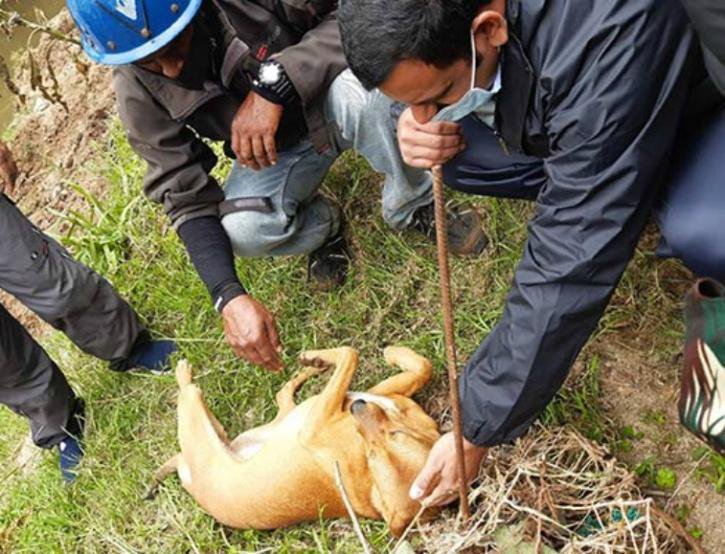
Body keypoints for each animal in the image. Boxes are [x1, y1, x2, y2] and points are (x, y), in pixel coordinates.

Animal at [150, 348, 438, 532]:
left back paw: (182, 371)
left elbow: (350, 353)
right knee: (282, 395)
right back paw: (307, 371)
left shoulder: (319, 422)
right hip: (265, 425)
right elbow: (423, 366)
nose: (357, 408)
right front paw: (393, 353)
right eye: (397, 434)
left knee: (190, 391)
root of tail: (185, 473)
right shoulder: (382, 394)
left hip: (198, 420)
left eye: (373, 455)